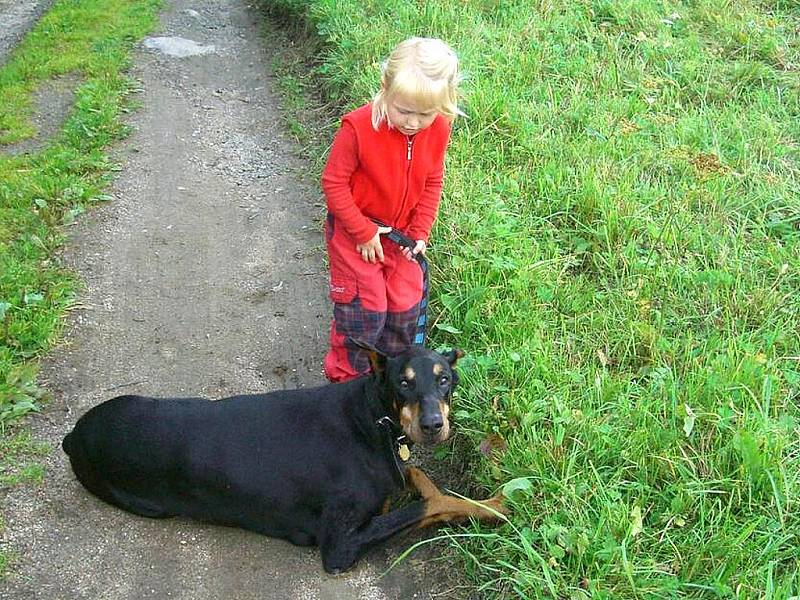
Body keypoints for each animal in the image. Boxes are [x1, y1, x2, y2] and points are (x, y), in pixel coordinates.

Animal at [62, 344, 504, 576]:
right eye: (403, 382)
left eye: (444, 378)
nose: (432, 425)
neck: (370, 419)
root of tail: (72, 437)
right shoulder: (339, 546)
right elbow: (433, 503)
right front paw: (496, 505)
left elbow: (414, 475)